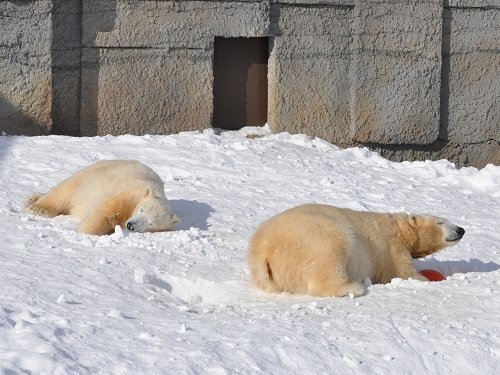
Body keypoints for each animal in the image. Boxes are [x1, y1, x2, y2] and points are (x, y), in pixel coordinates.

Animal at [24, 159, 180, 235]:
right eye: (142, 210)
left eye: (151, 223)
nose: (130, 225)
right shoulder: (127, 194)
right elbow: (106, 212)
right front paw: (84, 230)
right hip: (92, 174)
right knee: (66, 189)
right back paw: (37, 206)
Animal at [247, 204, 464, 298]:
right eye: (440, 222)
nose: (460, 229)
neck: (399, 228)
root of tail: (263, 249)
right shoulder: (390, 247)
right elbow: (402, 272)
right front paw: (426, 279)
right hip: (316, 238)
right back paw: (353, 287)